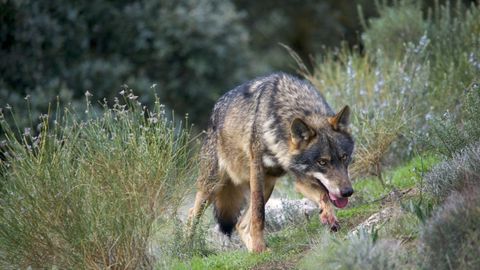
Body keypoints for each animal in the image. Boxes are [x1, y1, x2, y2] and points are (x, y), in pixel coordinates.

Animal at [189, 72, 354, 253]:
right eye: (322, 162)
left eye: (344, 157)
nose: (347, 192)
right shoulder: (257, 170)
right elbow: (259, 214)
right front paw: (259, 246)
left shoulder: (300, 178)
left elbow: (323, 195)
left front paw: (329, 217)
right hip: (212, 187)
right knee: (191, 215)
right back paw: (186, 248)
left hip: (267, 185)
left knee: (240, 224)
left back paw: (253, 251)